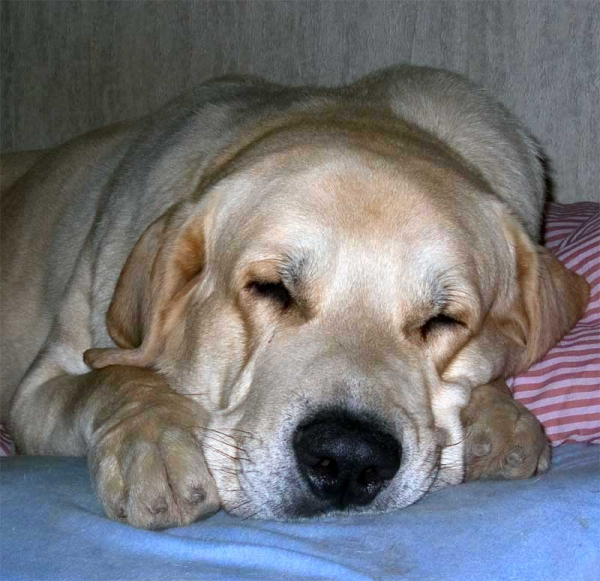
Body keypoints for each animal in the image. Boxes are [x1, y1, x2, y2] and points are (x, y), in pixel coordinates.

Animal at [0, 63, 588, 524]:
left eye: (443, 320)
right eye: (271, 289)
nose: (348, 459)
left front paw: (499, 417)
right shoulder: (38, 388)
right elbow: (117, 377)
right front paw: (155, 440)